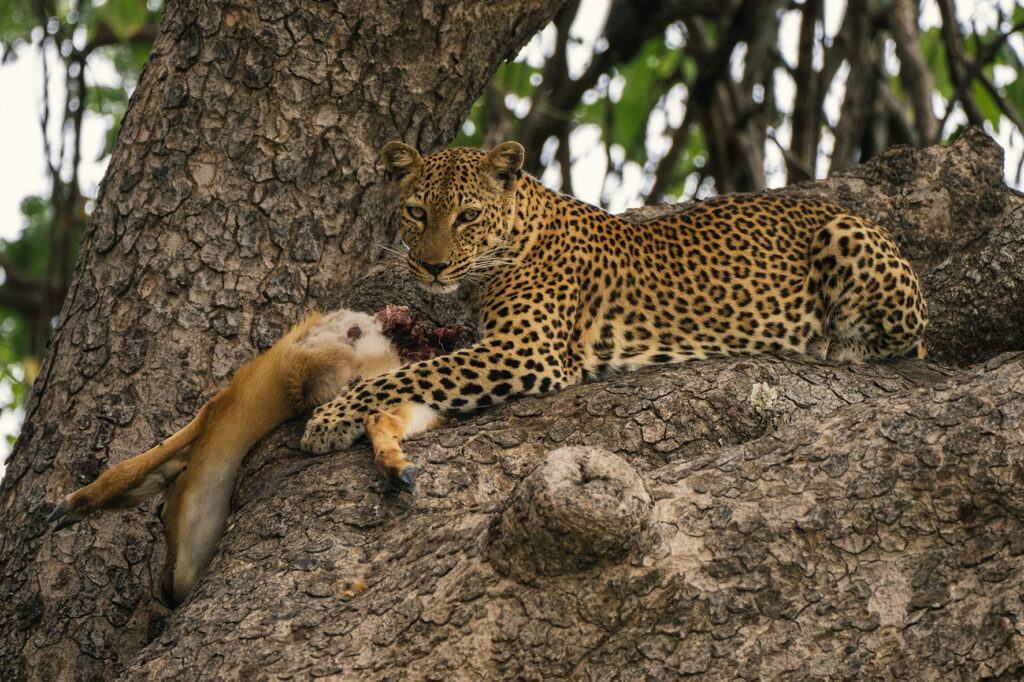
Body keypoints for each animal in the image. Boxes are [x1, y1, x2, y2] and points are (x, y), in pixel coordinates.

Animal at [301, 140, 928, 456]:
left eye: (468, 216)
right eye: (416, 211)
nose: (431, 266)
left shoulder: (525, 352)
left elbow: (406, 377)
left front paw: (327, 420)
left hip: (848, 238)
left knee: (906, 345)